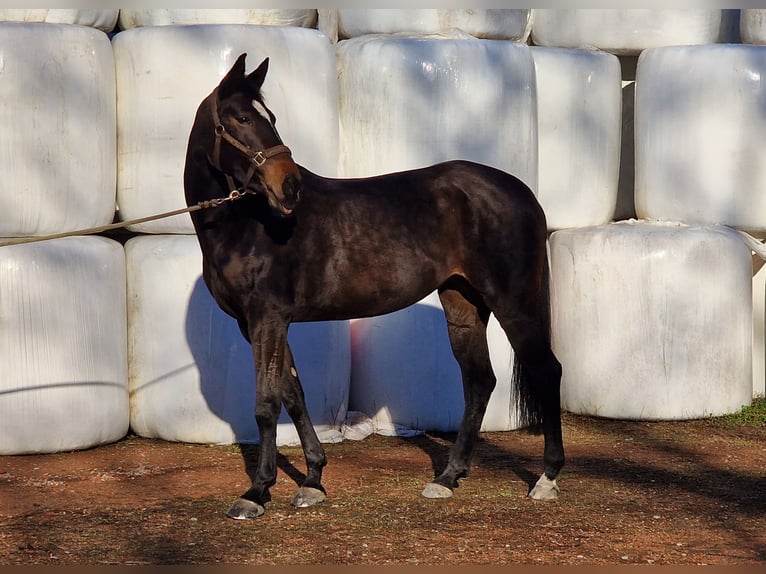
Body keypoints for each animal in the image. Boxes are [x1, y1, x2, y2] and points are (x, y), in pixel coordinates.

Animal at [181, 55, 564, 520]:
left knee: (547, 371)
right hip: (463, 304)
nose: (290, 186)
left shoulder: (266, 319)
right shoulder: (260, 323)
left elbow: (267, 403)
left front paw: (257, 492)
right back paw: (447, 478)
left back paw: (546, 479)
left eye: (267, 117)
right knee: (479, 382)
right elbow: (294, 393)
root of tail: (522, 192)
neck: (246, 224)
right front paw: (312, 480)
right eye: (240, 118)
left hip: (514, 304)